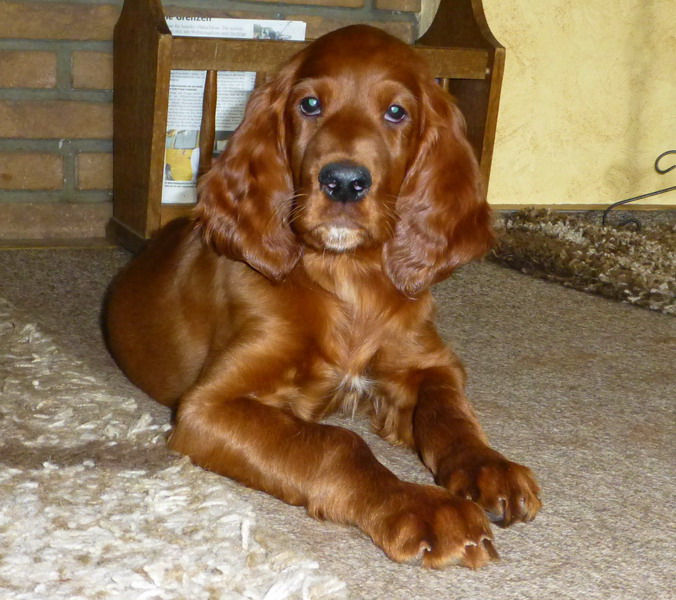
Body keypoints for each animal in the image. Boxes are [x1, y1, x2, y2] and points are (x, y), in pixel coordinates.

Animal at [106, 25, 541, 569]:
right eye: (309, 104)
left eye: (396, 112)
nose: (344, 182)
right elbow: (338, 443)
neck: (347, 278)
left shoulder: (428, 362)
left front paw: (488, 467)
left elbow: (449, 410)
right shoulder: (207, 408)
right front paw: (422, 506)